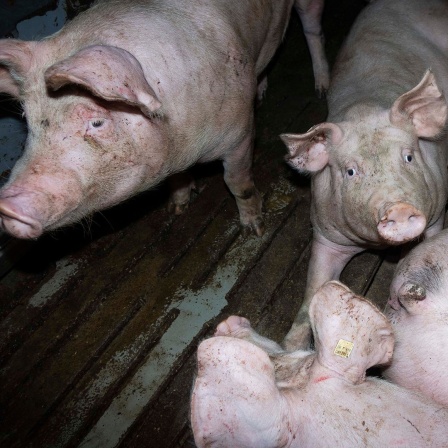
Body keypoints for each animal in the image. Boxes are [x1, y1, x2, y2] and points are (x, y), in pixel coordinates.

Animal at [0, 0, 328, 242]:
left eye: (96, 123)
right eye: (28, 119)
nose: (6, 204)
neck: (181, 145)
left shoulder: (241, 133)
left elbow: (237, 183)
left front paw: (254, 230)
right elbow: (177, 180)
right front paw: (178, 207)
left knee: (312, 29)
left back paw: (321, 89)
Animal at [280, 0, 448, 350]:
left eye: (409, 156)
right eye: (350, 171)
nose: (398, 208)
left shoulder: (437, 212)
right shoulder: (325, 234)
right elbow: (314, 286)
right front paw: (291, 346)